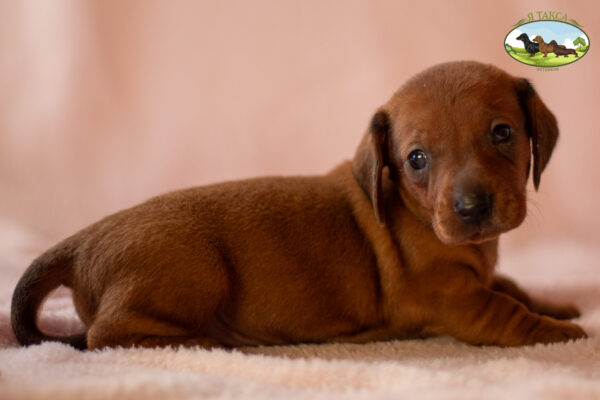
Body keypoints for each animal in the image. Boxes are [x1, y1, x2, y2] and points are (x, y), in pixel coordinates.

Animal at [11, 61, 586, 350]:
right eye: (417, 159)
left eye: (503, 133)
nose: (471, 208)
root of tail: (81, 241)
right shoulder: (454, 299)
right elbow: (506, 311)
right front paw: (556, 331)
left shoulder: (479, 277)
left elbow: (512, 286)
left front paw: (553, 303)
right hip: (193, 272)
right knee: (106, 335)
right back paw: (203, 342)